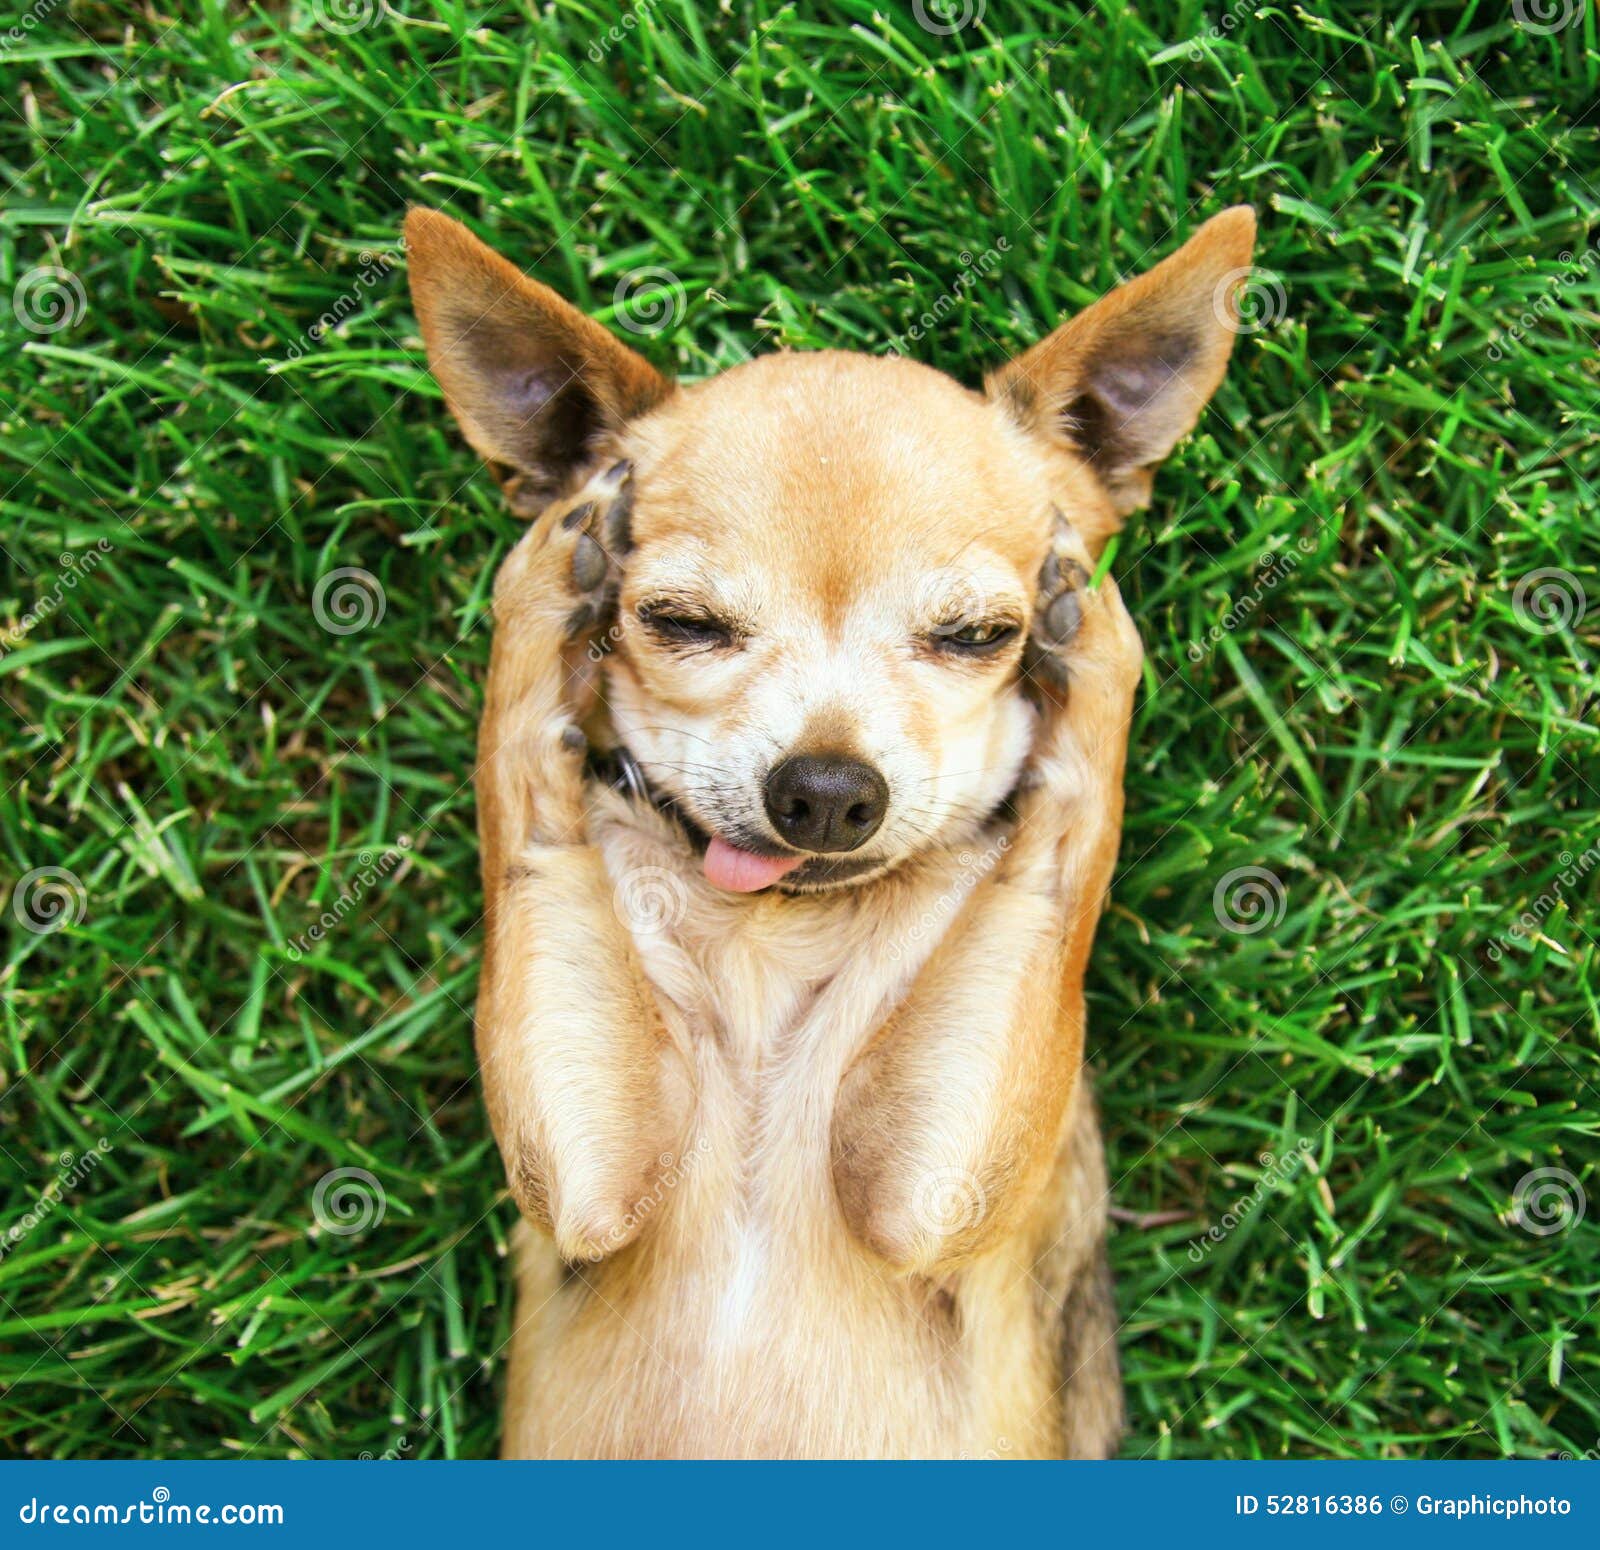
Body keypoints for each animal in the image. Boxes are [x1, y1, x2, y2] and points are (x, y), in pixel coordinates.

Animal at [400, 202, 1248, 1452]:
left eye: (977, 635)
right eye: (681, 621)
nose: (828, 789)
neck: (780, 932)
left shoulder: (926, 1192)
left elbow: (1064, 844)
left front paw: (1087, 621)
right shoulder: (589, 1180)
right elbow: (523, 794)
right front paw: (555, 561)